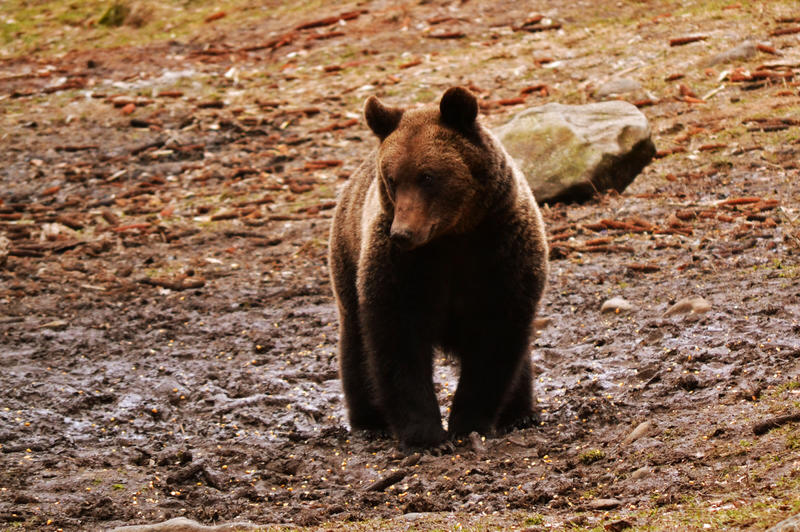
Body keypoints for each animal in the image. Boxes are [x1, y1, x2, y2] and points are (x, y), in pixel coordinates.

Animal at [328, 86, 548, 448]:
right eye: (392, 179)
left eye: (427, 176)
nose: (402, 233)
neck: (453, 235)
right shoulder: (403, 268)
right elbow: (399, 343)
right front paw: (426, 436)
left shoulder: (501, 253)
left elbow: (495, 340)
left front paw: (468, 422)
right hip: (348, 257)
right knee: (356, 344)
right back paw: (369, 421)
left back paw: (519, 414)